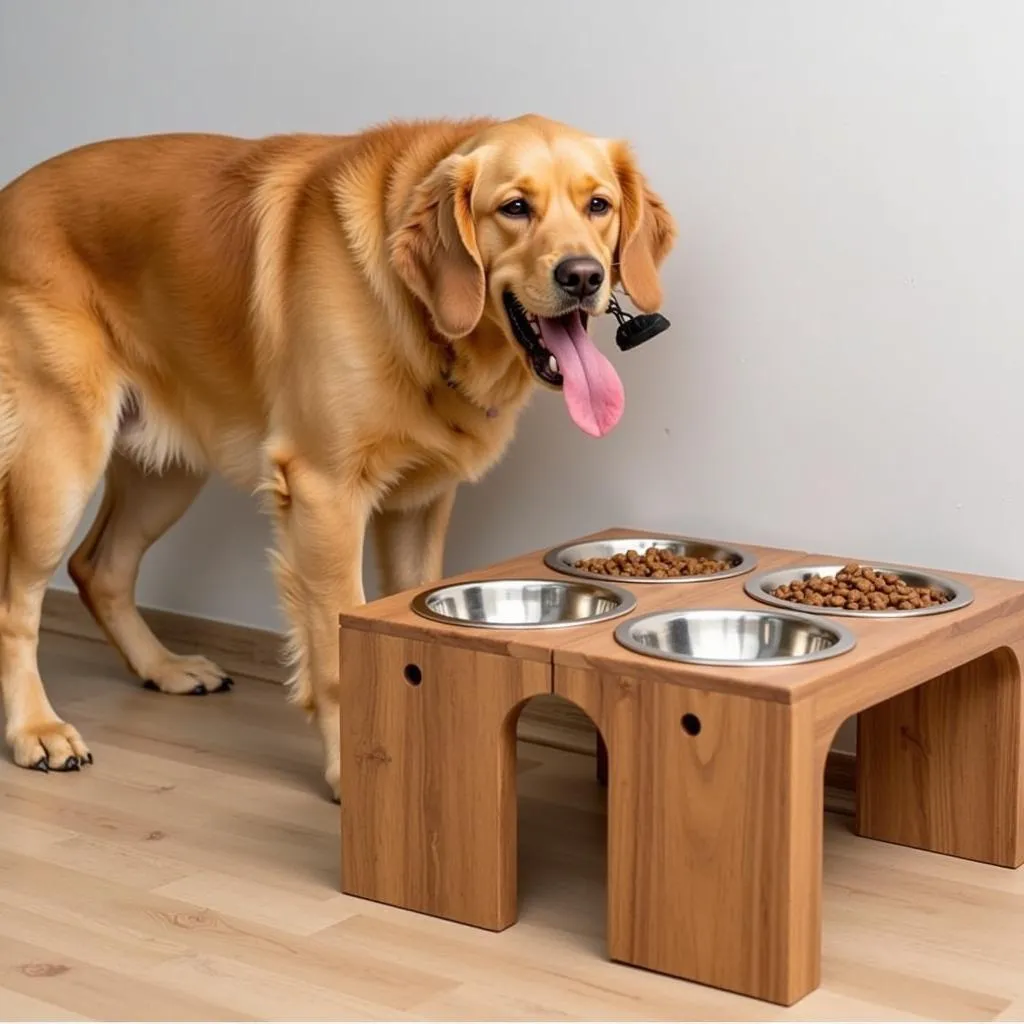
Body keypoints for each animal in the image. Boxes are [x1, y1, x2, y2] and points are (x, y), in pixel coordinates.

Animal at [0, 114, 679, 798]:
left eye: (599, 206)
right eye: (515, 208)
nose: (583, 276)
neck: (417, 314)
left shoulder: (418, 505)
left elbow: (409, 631)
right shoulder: (324, 495)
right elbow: (334, 648)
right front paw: (349, 770)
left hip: (164, 473)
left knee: (100, 568)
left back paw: (163, 667)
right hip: (60, 463)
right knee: (18, 603)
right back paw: (38, 730)